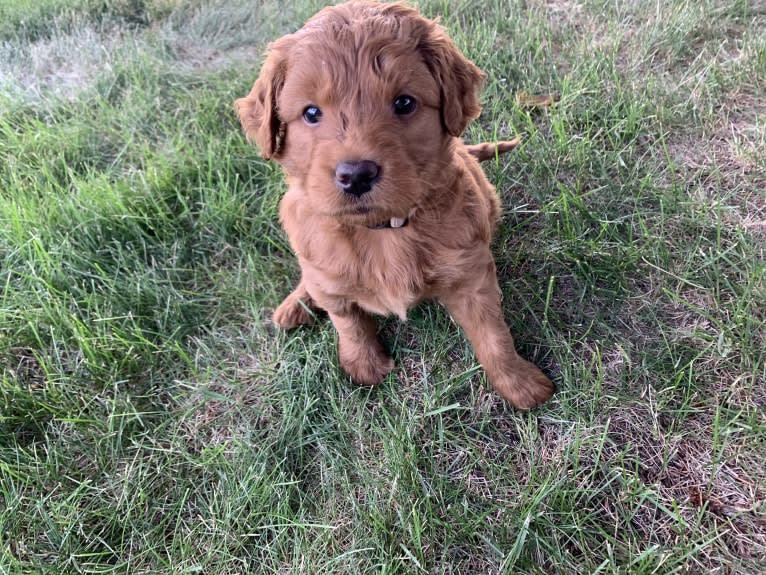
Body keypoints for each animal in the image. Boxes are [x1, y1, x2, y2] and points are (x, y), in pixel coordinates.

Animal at [237, 2, 556, 412]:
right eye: (310, 113)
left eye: (404, 103)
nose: (356, 175)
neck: (383, 232)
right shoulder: (330, 274)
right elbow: (348, 321)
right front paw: (364, 366)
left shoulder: (471, 275)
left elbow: (493, 334)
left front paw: (519, 384)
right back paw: (295, 305)